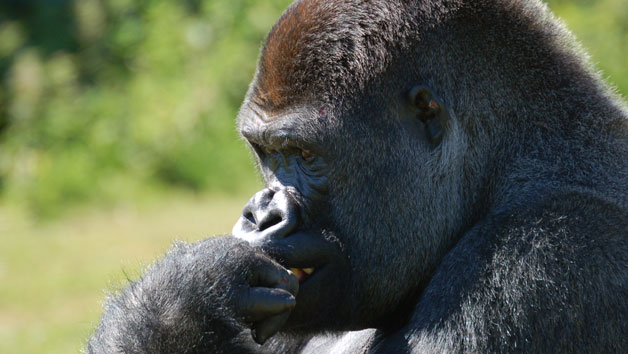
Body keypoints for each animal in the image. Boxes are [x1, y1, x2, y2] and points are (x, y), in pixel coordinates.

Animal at [87, 1, 628, 352]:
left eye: (303, 153)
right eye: (269, 154)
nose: (260, 214)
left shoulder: (543, 253)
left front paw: (180, 302)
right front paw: (179, 300)